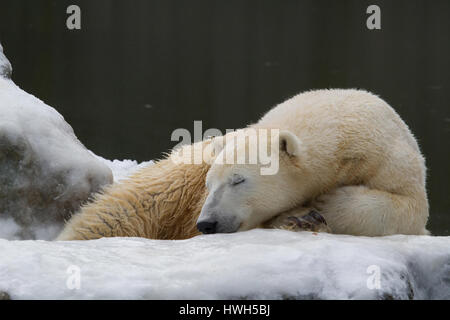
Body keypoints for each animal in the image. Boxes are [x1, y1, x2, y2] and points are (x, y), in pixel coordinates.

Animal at [197, 89, 428, 236]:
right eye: (209, 185)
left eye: (238, 180)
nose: (207, 223)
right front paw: (301, 217)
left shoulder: (385, 155)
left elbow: (411, 205)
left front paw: (327, 204)